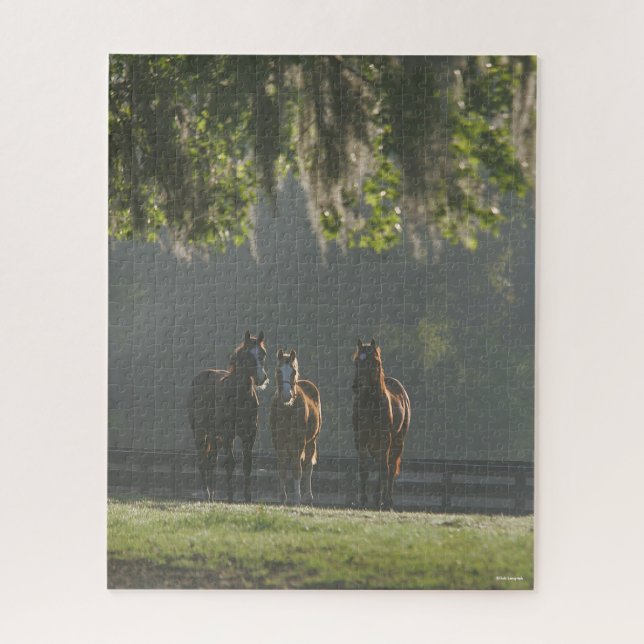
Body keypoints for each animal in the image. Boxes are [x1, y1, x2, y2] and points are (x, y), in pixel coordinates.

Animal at [188, 330, 269, 502]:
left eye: (263, 354)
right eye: (247, 355)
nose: (261, 378)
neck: (239, 397)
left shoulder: (249, 435)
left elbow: (247, 464)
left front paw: (247, 498)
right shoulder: (227, 435)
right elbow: (230, 463)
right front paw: (230, 498)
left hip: (213, 435)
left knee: (211, 461)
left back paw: (212, 496)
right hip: (200, 432)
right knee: (202, 461)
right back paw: (205, 494)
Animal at [269, 349, 322, 505]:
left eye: (294, 371)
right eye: (278, 371)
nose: (287, 395)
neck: (288, 409)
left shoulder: (299, 442)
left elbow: (297, 469)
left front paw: (297, 498)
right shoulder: (278, 441)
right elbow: (281, 468)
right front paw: (282, 497)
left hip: (311, 442)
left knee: (308, 466)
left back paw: (308, 496)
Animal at [352, 338, 411, 510]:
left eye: (375, 361)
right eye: (356, 360)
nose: (356, 385)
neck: (370, 404)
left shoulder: (385, 439)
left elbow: (383, 469)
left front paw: (380, 500)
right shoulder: (360, 440)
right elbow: (363, 469)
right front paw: (363, 500)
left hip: (397, 442)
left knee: (389, 468)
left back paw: (387, 500)